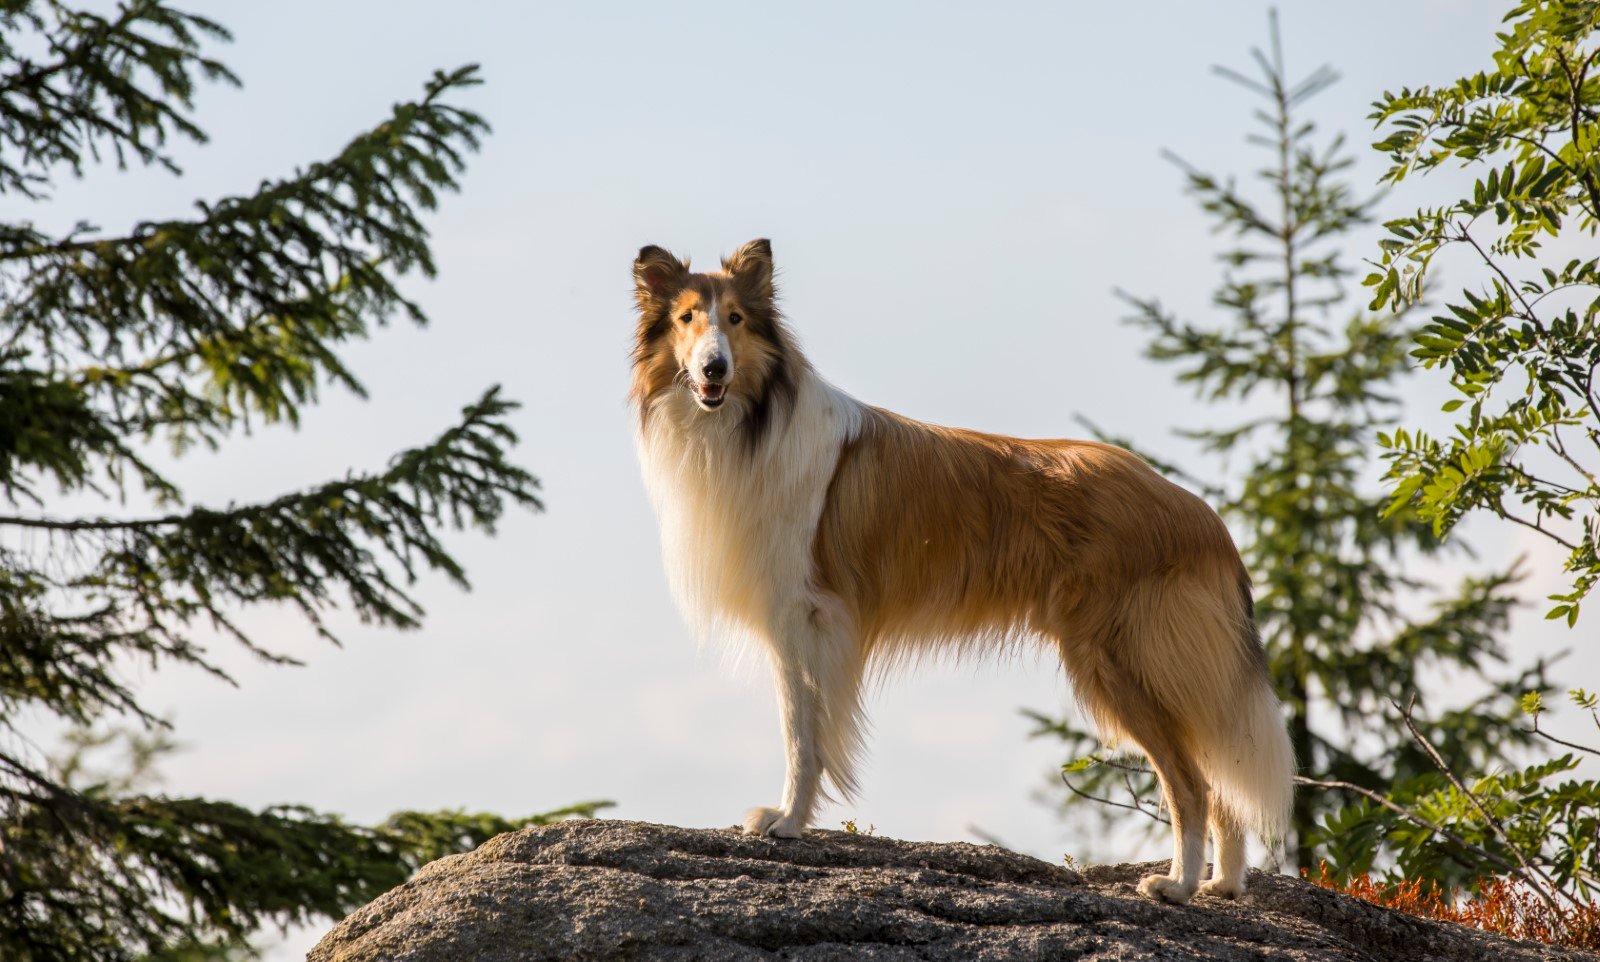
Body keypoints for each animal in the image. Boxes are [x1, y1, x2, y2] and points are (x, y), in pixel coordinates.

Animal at [630, 238, 1292, 902]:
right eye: (687, 318)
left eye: (736, 319)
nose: (714, 369)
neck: (753, 421)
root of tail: (1202, 516)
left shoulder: (804, 616)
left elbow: (802, 734)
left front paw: (786, 822)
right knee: (1222, 778)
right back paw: (1223, 885)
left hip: (1120, 658)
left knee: (1193, 782)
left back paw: (1176, 885)